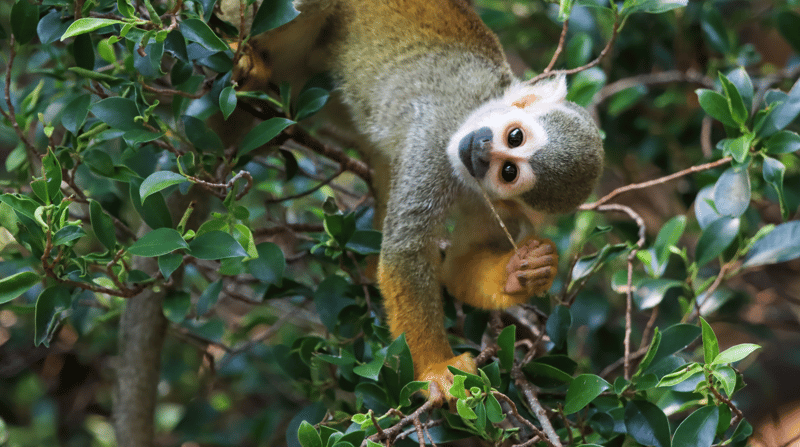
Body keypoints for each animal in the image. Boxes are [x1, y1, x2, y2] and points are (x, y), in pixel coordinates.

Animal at [229, 0, 604, 403]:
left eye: (508, 173)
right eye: (515, 136)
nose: (481, 152)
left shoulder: (495, 205)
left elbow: (456, 268)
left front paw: (521, 272)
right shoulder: (436, 137)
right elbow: (406, 253)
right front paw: (437, 369)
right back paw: (247, 59)